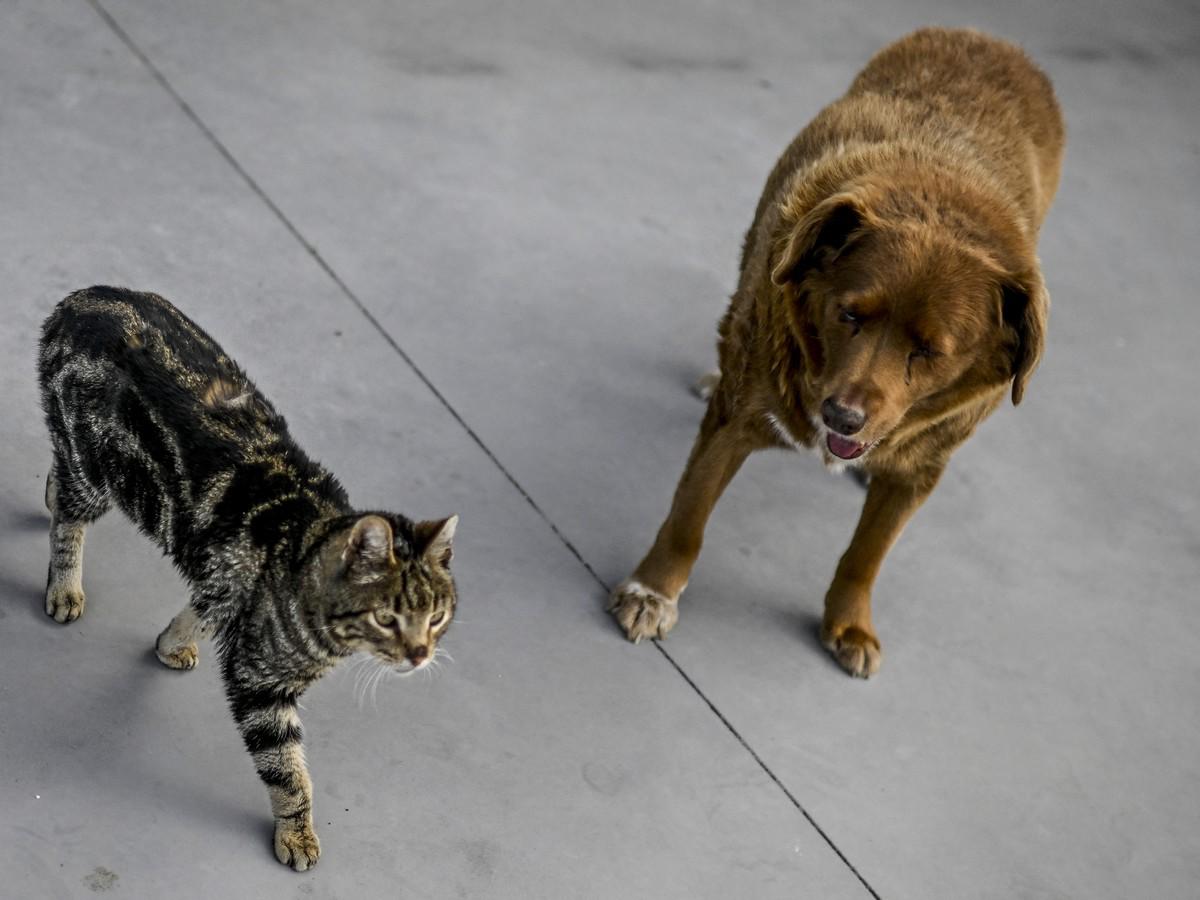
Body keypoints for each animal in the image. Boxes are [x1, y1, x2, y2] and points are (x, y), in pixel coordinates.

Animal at [37, 285, 458, 868]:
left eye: (436, 617)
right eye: (387, 617)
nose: (420, 655)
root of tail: (83, 298)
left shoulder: (226, 583)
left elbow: (202, 608)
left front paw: (172, 643)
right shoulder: (259, 684)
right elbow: (288, 773)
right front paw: (297, 832)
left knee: (58, 480)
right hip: (98, 474)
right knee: (69, 516)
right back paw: (64, 586)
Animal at [614, 26, 1065, 676]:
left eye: (930, 350)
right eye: (849, 314)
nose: (842, 417)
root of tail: (985, 38)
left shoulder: (920, 472)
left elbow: (866, 553)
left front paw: (849, 624)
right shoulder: (736, 420)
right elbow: (689, 515)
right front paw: (652, 591)